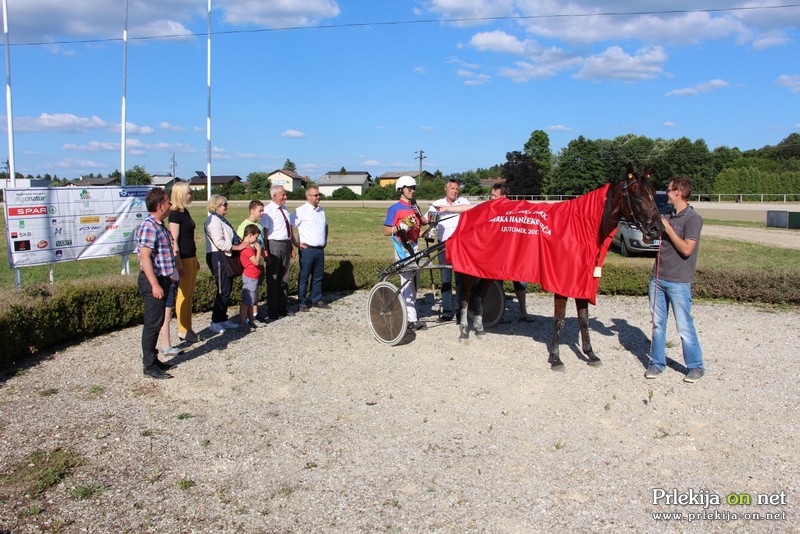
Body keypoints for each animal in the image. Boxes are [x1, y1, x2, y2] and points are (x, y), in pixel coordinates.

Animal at [450, 165, 664, 370]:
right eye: (636, 195)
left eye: (654, 192)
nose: (657, 229)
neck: (580, 227)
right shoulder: (561, 282)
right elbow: (559, 318)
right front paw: (556, 358)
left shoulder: (581, 281)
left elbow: (584, 318)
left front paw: (590, 354)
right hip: (469, 270)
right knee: (466, 296)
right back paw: (463, 331)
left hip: (488, 270)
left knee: (478, 295)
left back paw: (479, 329)